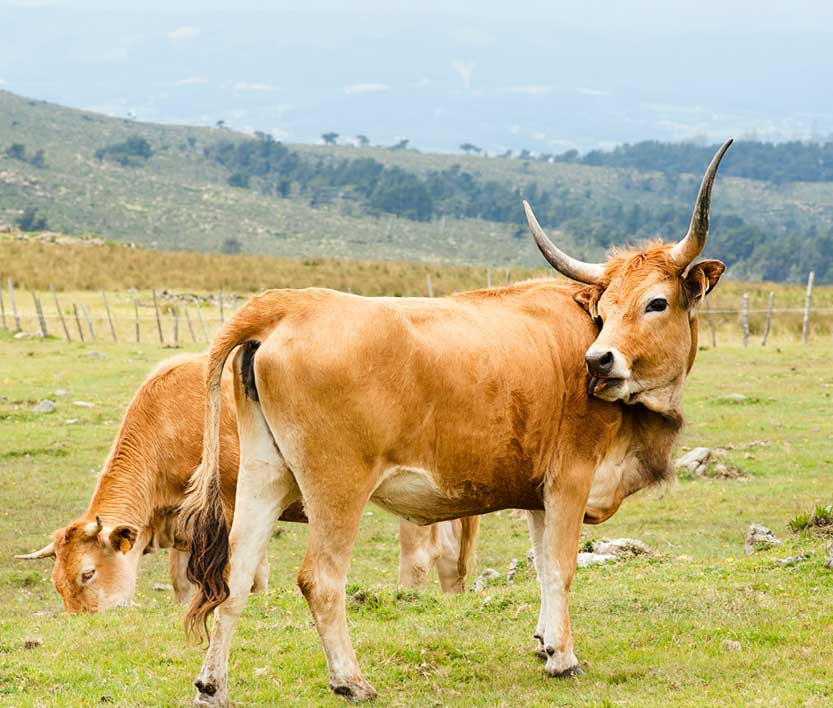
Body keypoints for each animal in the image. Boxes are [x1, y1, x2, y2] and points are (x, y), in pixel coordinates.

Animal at [16, 354, 479, 613]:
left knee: (418, 557)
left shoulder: (235, 501)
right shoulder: (184, 525)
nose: (84, 621)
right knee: (447, 554)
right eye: (58, 583)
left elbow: (250, 570)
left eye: (88, 574)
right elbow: (182, 583)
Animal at [182, 140, 731, 706]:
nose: (598, 361)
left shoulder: (537, 494)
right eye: (605, 305)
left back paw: (212, 685)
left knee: (235, 574)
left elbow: (542, 568)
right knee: (321, 579)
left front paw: (544, 642)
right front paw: (563, 658)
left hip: (264, 476)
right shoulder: (569, 481)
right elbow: (561, 568)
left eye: (656, 302)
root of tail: (288, 305)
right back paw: (350, 680)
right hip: (337, 488)